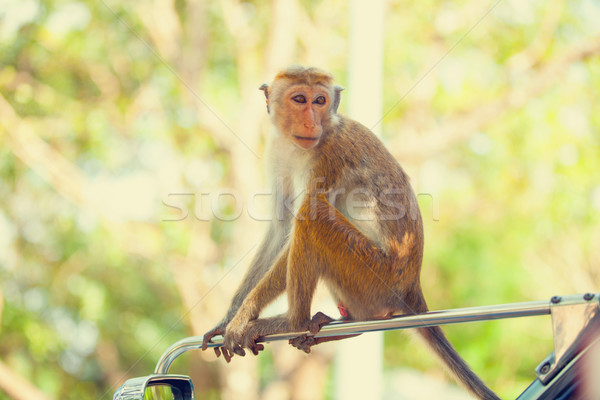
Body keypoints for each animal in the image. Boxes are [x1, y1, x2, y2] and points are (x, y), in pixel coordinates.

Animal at [204, 65, 500, 400]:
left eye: (319, 101)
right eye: (299, 99)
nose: (311, 121)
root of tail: (412, 286)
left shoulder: (329, 156)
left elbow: (300, 223)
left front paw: (244, 317)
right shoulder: (277, 150)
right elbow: (279, 227)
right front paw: (229, 316)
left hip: (373, 274)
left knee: (312, 217)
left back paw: (292, 322)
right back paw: (347, 323)